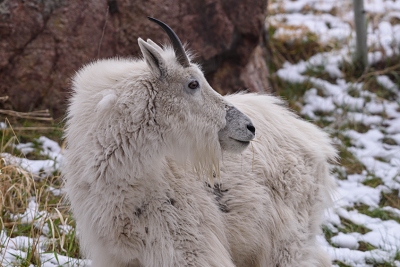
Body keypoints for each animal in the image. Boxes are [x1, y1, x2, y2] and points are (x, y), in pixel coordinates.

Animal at [63, 17, 338, 267]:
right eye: (193, 83)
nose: (249, 127)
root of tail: (316, 141)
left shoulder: (188, 246)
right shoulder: (120, 256)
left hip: (289, 240)